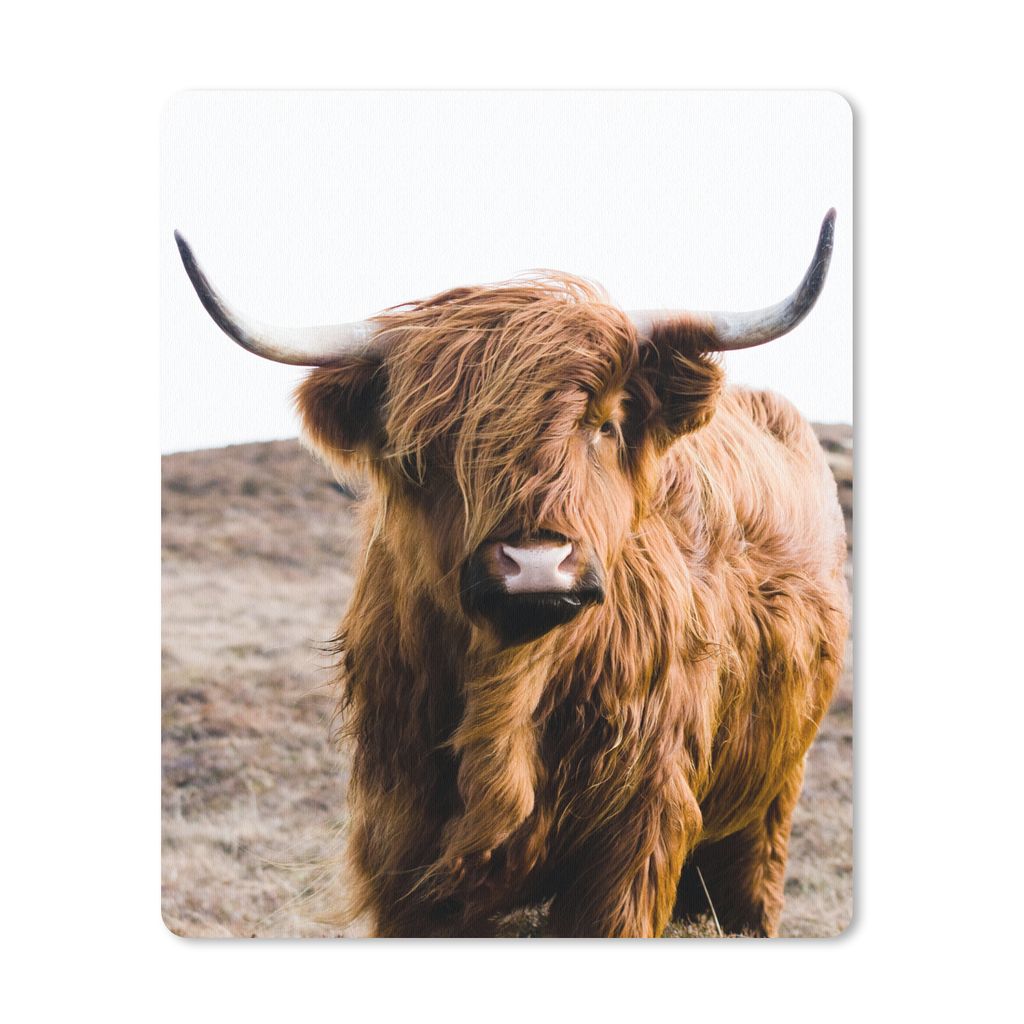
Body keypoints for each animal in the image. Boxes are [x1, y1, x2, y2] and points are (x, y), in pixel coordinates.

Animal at [174, 210, 848, 937]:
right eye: (429, 445)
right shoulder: (402, 839)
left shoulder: (636, 834)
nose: (536, 564)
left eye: (604, 424)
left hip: (771, 796)